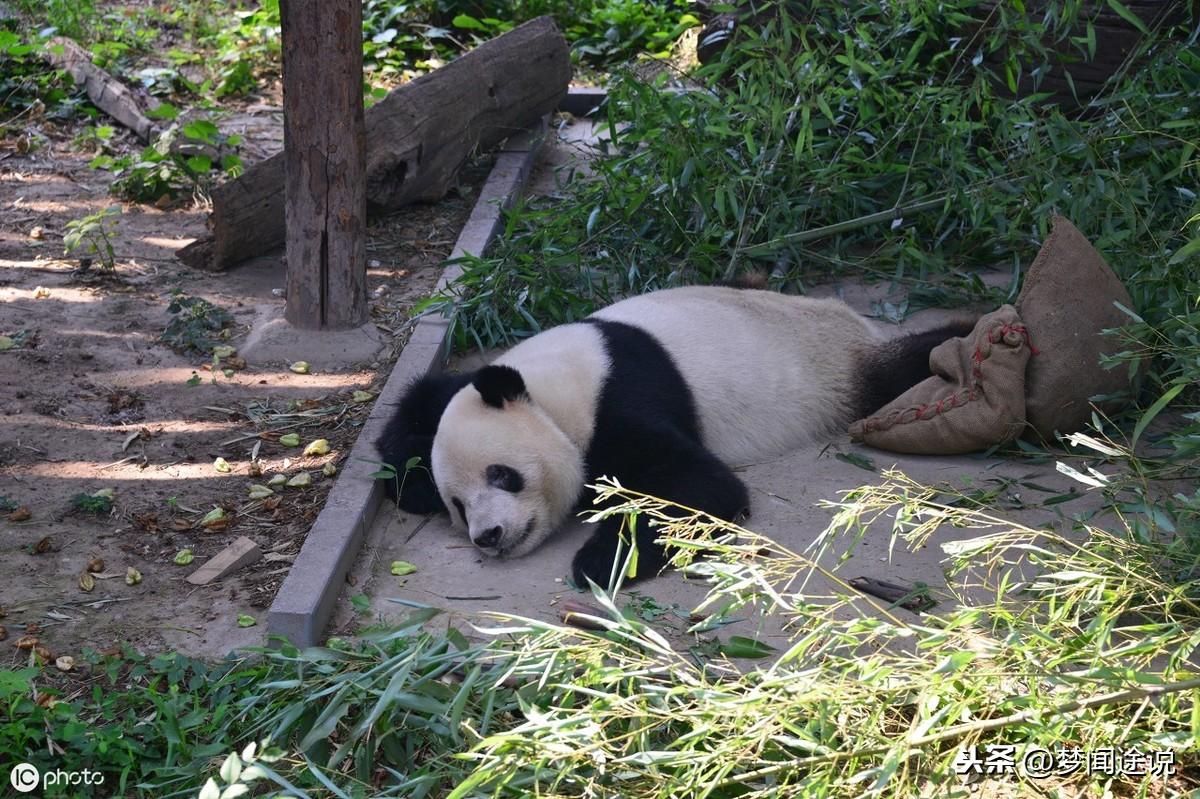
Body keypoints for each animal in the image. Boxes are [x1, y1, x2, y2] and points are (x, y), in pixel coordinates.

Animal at [379, 283, 969, 583]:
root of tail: (857, 324)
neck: (555, 390)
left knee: (906, 366)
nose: (489, 536)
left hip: (842, 370)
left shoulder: (619, 399)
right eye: (458, 505)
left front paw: (603, 560)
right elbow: (421, 405)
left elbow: (696, 485)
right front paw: (411, 479)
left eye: (502, 475)